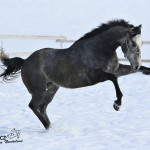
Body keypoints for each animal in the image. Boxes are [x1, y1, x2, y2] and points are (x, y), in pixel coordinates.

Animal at [0, 19, 150, 129]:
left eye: (141, 43)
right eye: (133, 43)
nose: (136, 65)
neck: (100, 48)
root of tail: (25, 62)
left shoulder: (116, 70)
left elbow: (140, 69)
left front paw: (145, 71)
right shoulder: (95, 76)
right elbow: (113, 79)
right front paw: (117, 104)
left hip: (52, 88)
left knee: (42, 108)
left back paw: (51, 128)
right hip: (39, 91)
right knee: (34, 106)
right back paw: (49, 128)